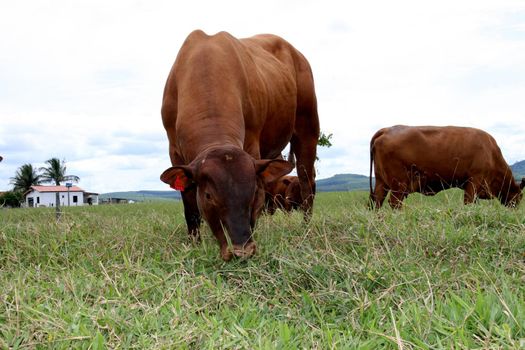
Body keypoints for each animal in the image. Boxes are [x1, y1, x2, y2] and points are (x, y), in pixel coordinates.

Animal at [368, 125, 524, 208]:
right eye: (519, 196)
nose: (515, 210)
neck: (491, 152)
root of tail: (387, 129)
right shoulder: (474, 181)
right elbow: (468, 202)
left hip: (381, 182)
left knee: (377, 201)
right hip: (398, 185)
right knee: (394, 203)